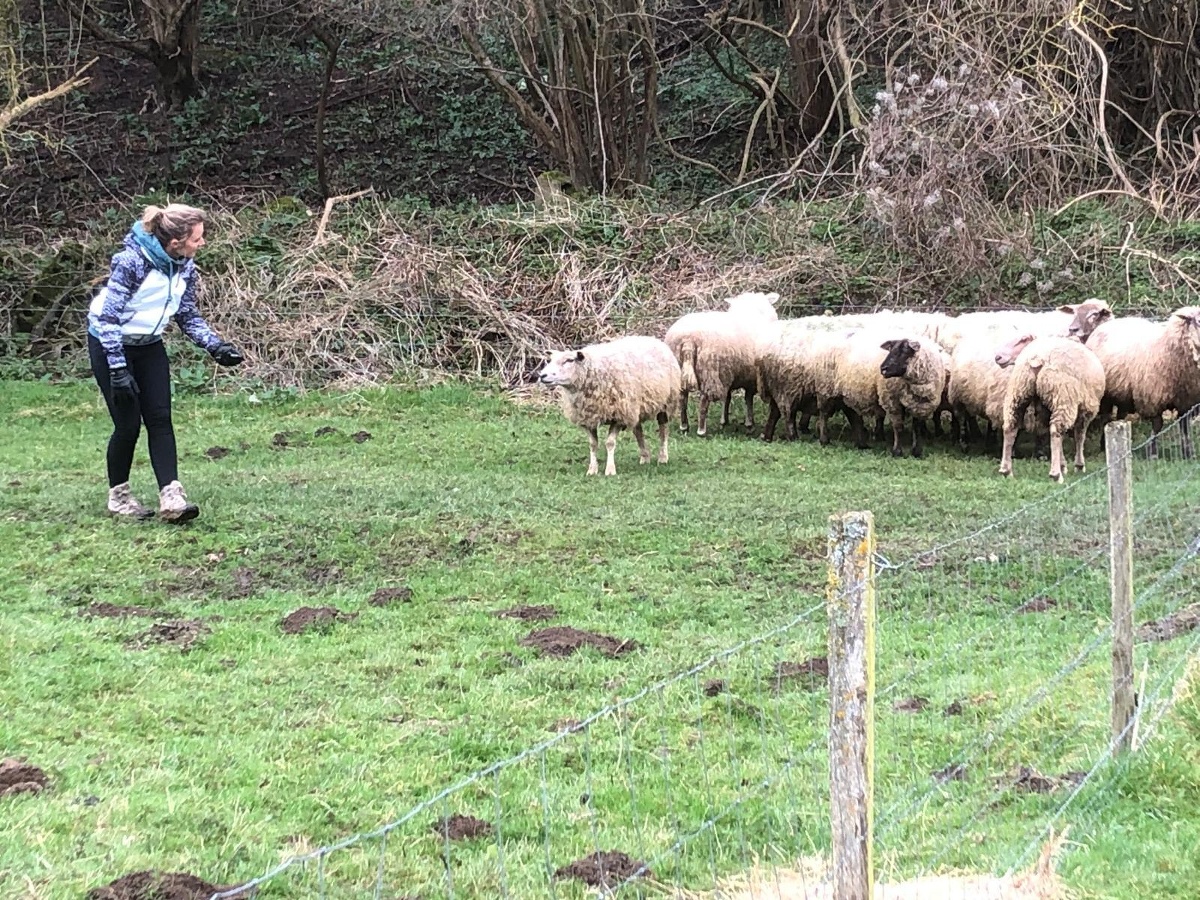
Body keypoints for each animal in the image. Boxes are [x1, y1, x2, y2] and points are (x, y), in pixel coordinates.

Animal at [538, 335, 682, 476]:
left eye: (569, 360)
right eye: (550, 361)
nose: (542, 375)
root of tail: (653, 338)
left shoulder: (618, 416)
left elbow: (610, 443)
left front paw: (610, 470)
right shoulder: (589, 417)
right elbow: (593, 444)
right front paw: (592, 470)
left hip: (666, 402)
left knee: (663, 430)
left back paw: (663, 457)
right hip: (634, 407)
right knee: (638, 431)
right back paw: (645, 457)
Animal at [664, 290, 780, 436]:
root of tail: (688, 340)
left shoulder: (729, 372)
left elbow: (727, 397)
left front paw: (724, 421)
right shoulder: (750, 376)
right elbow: (748, 399)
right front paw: (749, 424)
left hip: (681, 369)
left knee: (682, 399)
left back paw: (684, 426)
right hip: (710, 371)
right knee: (703, 402)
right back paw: (701, 430)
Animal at [993, 333, 1105, 482]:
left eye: (1023, 339)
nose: (997, 357)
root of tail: (1036, 357)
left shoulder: (1045, 409)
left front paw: (1063, 465)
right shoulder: (1087, 408)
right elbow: (1079, 436)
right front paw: (1078, 465)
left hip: (1018, 391)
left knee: (1010, 427)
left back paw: (1006, 471)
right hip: (1063, 396)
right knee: (1056, 431)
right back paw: (1055, 475)